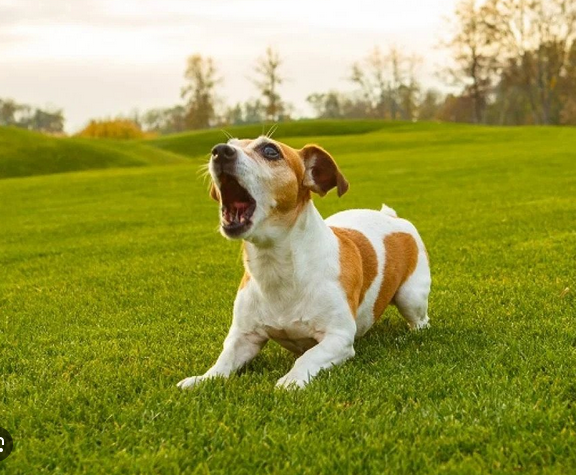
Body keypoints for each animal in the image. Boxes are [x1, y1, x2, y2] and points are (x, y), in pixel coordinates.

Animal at [178, 137, 430, 390]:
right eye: (229, 143)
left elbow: (307, 357)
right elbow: (224, 361)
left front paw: (291, 380)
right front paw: (203, 379)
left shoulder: (338, 338)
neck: (277, 267)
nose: (220, 151)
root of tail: (392, 217)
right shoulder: (244, 337)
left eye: (270, 150)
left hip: (411, 297)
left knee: (421, 322)